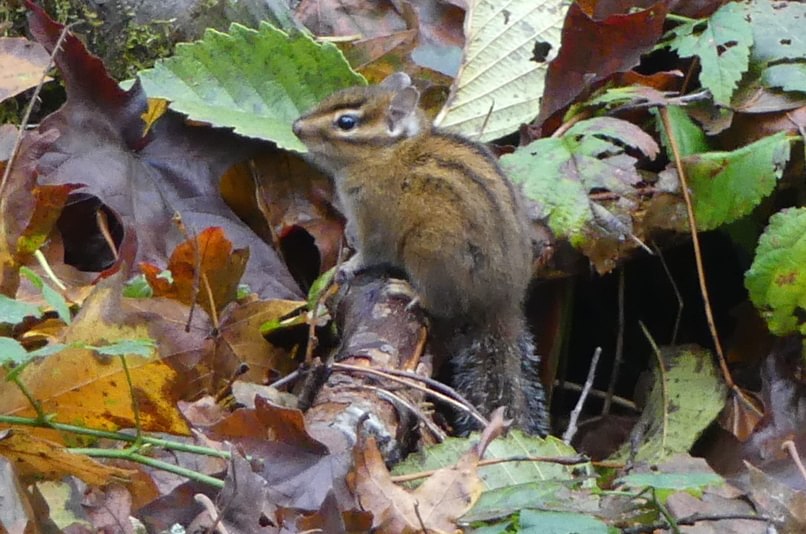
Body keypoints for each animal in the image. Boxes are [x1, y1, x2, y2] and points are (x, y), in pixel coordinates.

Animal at [292, 72, 549, 436]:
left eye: (346, 122)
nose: (296, 126)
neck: (386, 153)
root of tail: (502, 301)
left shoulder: (374, 220)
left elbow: (370, 253)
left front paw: (348, 265)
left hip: (426, 250)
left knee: (443, 305)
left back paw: (407, 290)